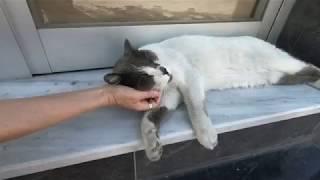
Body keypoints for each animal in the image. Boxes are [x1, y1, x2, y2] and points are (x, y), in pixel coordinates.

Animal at [104, 34, 320, 161]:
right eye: (145, 78)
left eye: (152, 60)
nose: (164, 70)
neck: (168, 84)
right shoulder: (170, 97)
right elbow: (147, 120)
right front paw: (152, 148)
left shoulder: (190, 79)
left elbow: (195, 108)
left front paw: (206, 136)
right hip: (279, 77)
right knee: (308, 73)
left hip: (282, 65)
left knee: (311, 66)